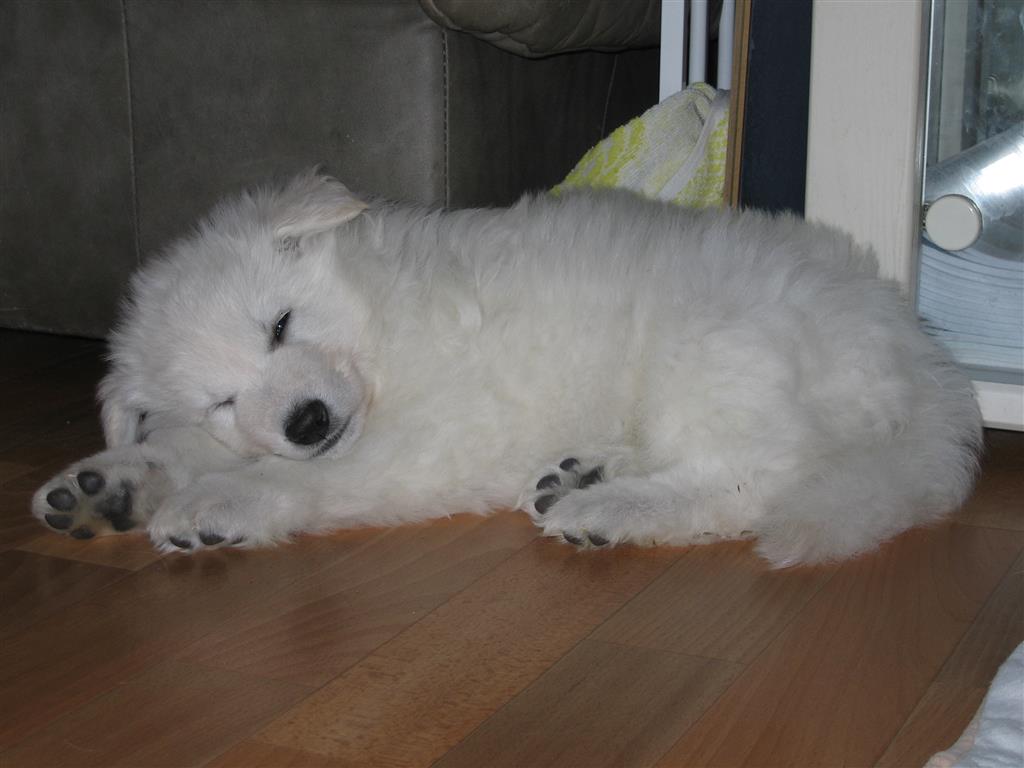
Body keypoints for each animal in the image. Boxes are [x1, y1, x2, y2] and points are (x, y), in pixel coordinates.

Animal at [32, 171, 982, 566]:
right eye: (225, 399)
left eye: (280, 325)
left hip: (717, 355)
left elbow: (310, 478)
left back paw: (606, 509)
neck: (379, 333)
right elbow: (182, 448)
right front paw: (106, 483)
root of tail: (926, 363)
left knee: (750, 482)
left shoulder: (428, 438)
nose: (305, 420)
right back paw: (583, 474)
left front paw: (218, 503)